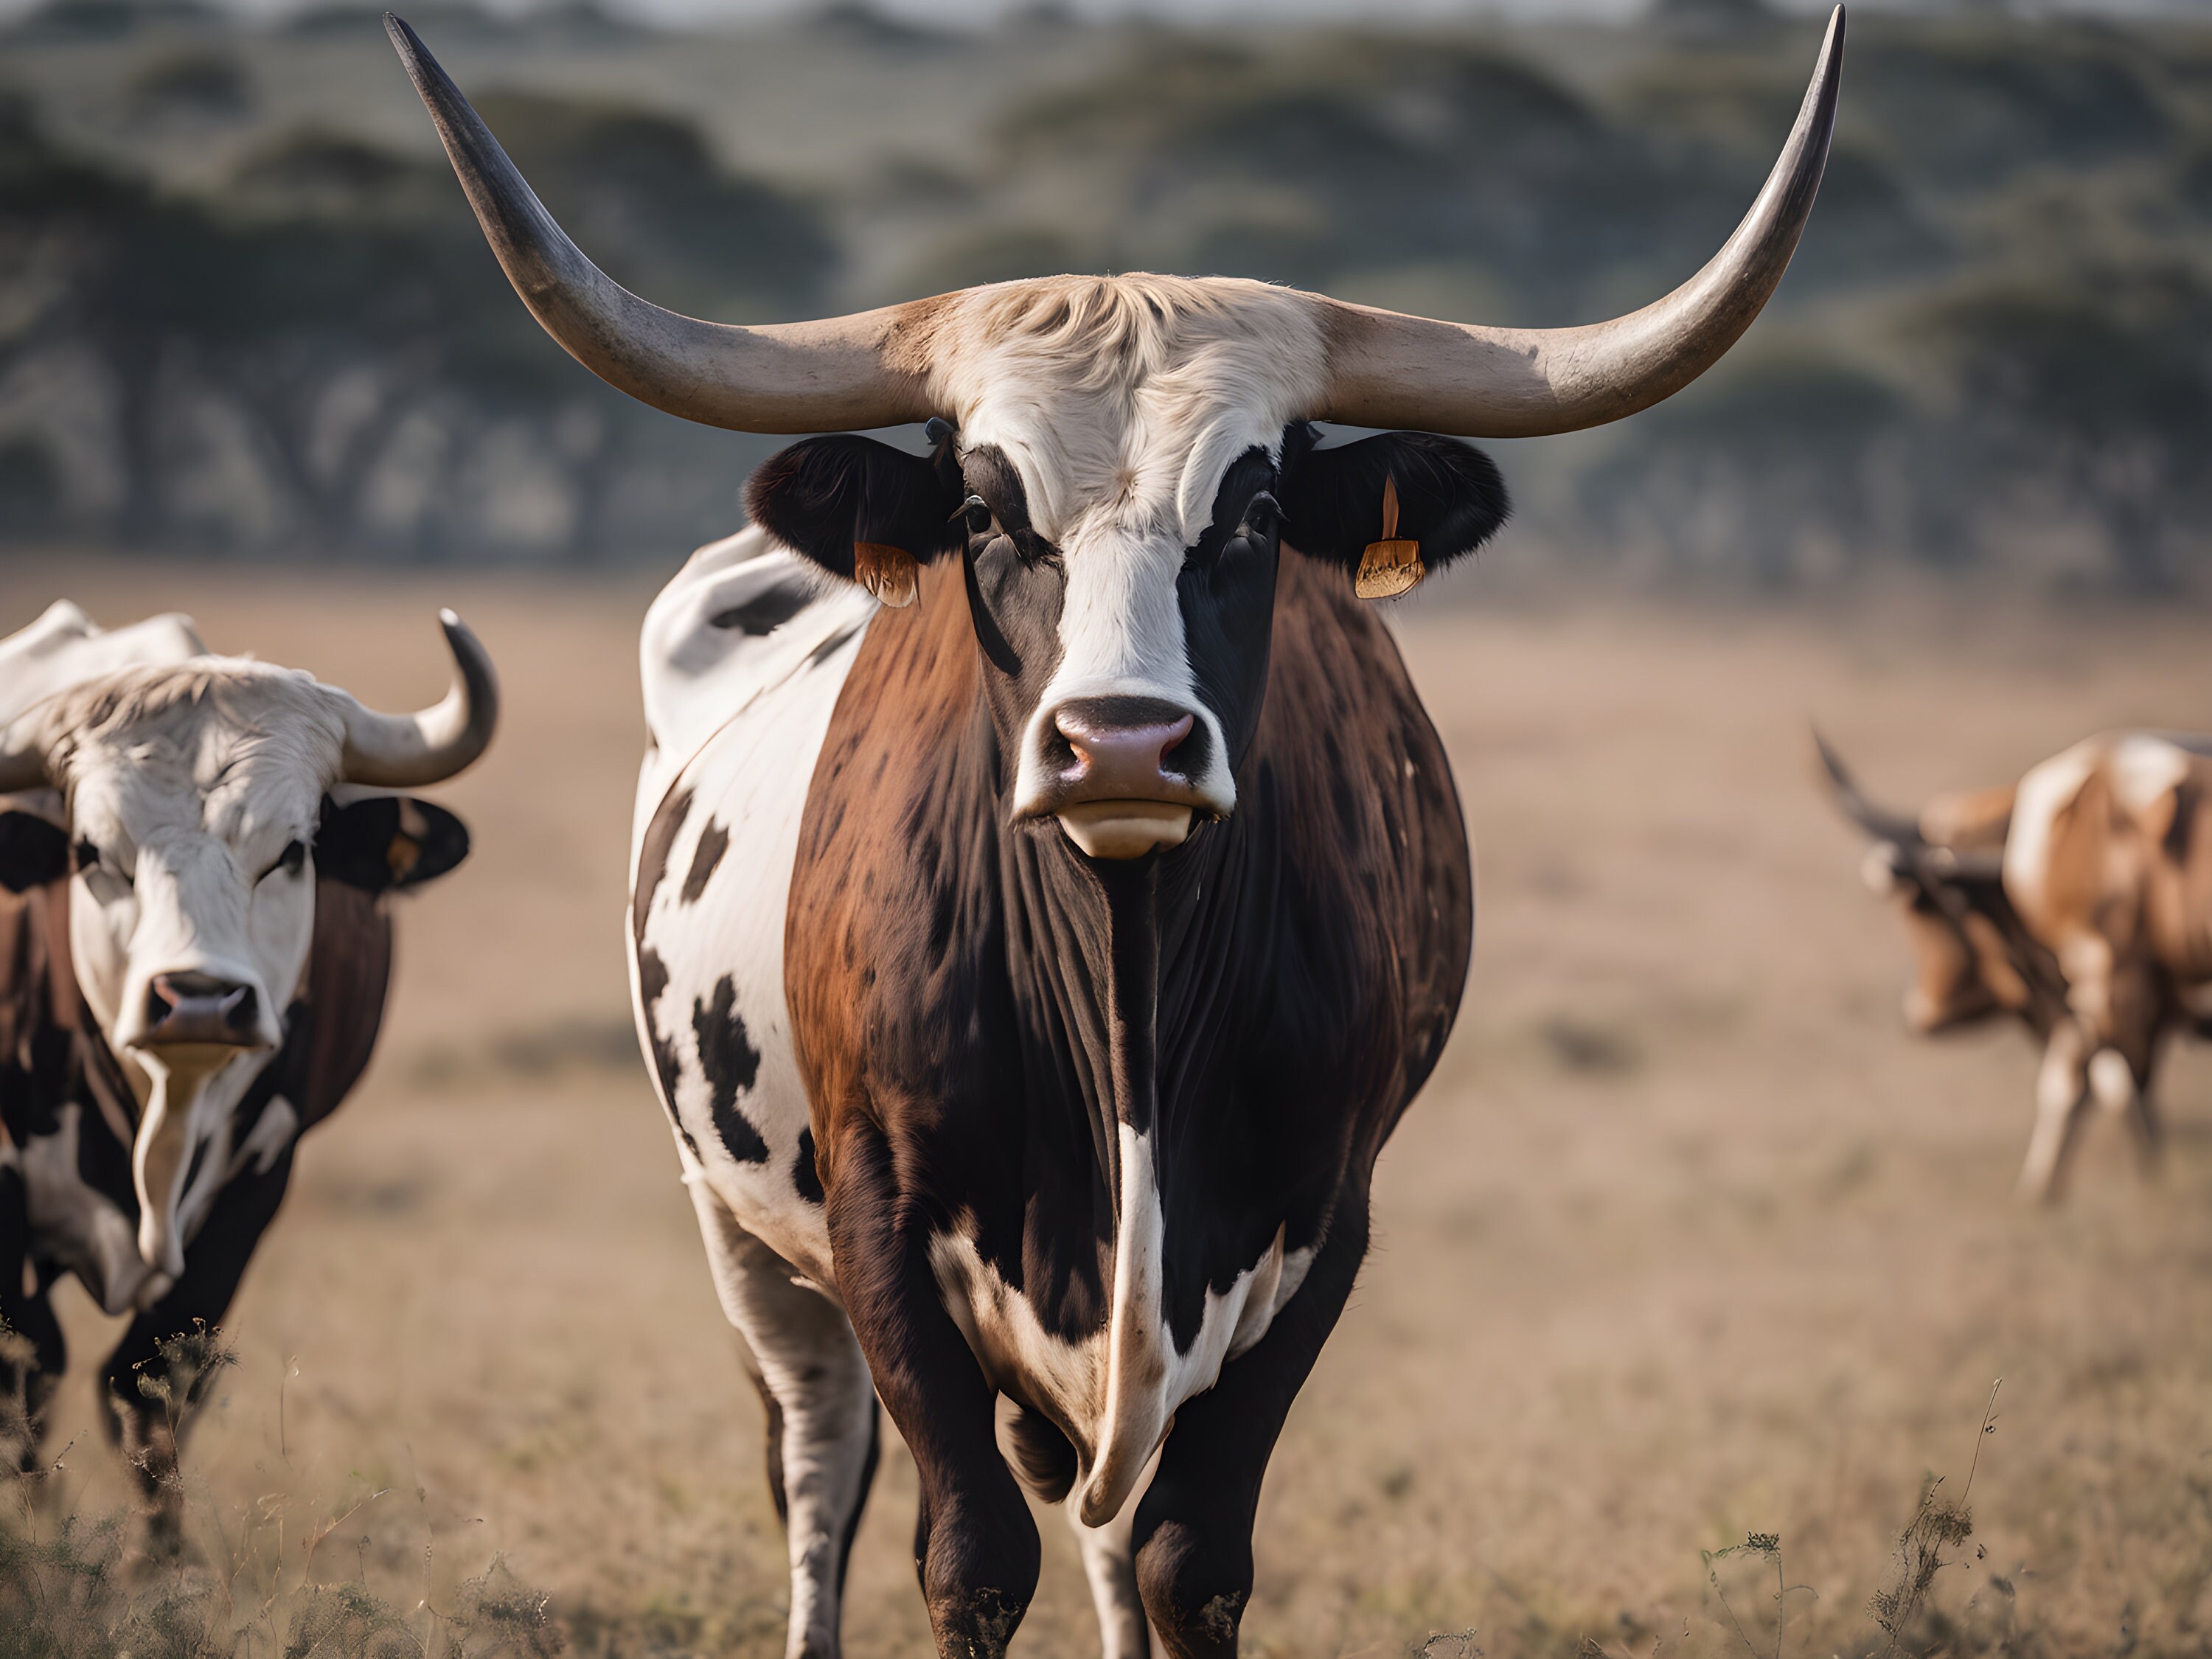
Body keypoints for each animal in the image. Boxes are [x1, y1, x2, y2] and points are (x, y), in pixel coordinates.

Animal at [0, 599, 496, 1535]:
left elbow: (152, 1388)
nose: (197, 1000)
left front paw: (161, 1560)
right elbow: (28, 1381)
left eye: (293, 850)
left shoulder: (249, 1199)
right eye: (91, 853)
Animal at [389, 9, 1843, 1655]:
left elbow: (1182, 1558)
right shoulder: (879, 1221)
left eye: (1258, 509)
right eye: (980, 508)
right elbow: (970, 1552)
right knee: (819, 1469)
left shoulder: (1317, 1227)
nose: (1125, 744)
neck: (1127, 1010)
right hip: (744, 1230)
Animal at [1821, 730, 2212, 1203]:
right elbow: (2124, 1089)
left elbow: (2085, 1086)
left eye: (1928, 910)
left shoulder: (2110, 982)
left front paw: (2040, 1194)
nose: (1919, 1014)